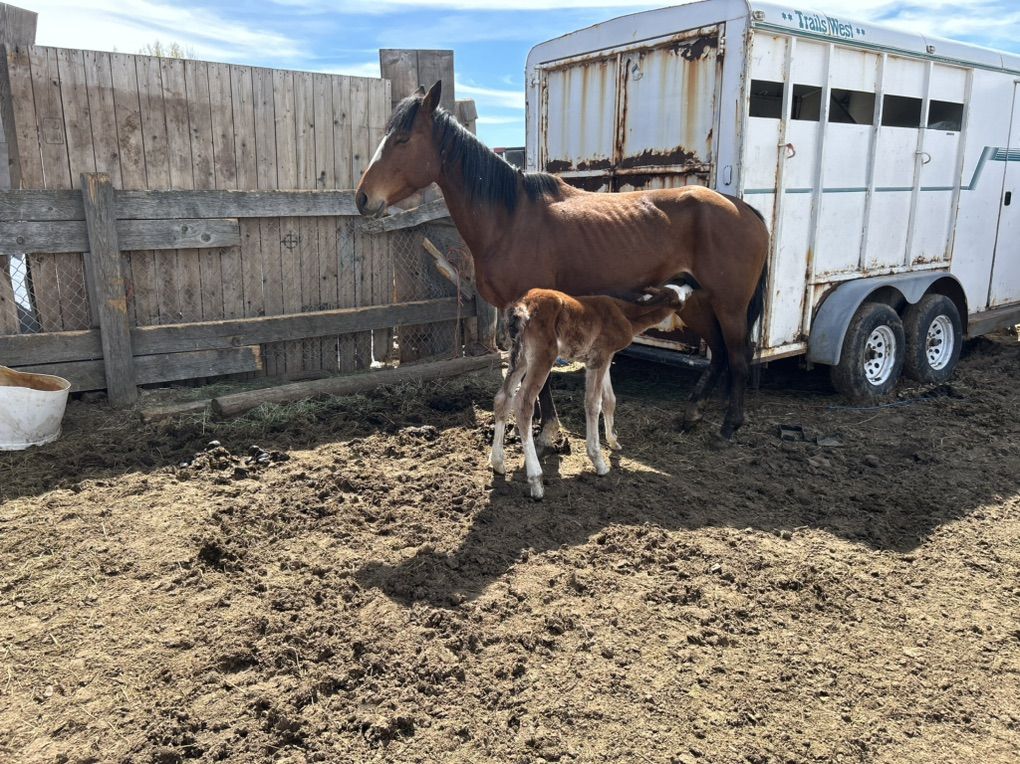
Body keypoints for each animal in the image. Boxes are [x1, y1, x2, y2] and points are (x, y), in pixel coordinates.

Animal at [355, 81, 769, 442]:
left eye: (403, 140)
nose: (362, 198)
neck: (510, 218)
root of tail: (742, 207)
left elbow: (540, 377)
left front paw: (549, 432)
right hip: (696, 301)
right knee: (719, 353)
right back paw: (693, 413)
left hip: (729, 304)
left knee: (738, 356)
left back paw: (729, 426)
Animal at [491, 284, 694, 500]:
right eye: (679, 296)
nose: (690, 287)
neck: (626, 314)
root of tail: (522, 306)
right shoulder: (599, 356)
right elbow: (593, 403)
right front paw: (599, 461)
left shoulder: (605, 358)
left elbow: (610, 400)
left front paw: (613, 441)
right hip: (542, 355)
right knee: (523, 403)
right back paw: (536, 481)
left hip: (519, 356)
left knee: (503, 398)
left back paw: (498, 463)